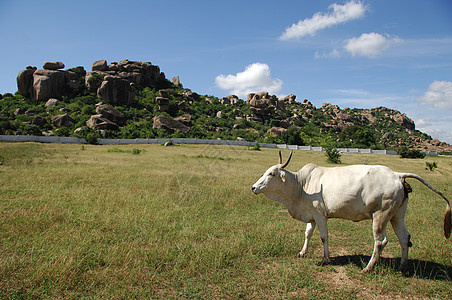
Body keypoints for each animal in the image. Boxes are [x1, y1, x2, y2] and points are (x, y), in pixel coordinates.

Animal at [252, 152, 450, 272]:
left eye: (271, 174)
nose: (253, 187)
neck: (302, 185)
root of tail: (396, 174)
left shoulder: (320, 215)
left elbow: (324, 237)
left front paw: (326, 258)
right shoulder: (311, 216)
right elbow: (308, 233)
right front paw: (302, 252)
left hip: (380, 216)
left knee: (381, 241)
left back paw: (368, 268)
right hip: (397, 216)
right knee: (404, 238)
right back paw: (402, 266)